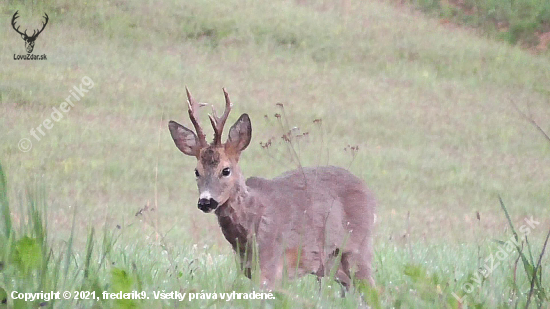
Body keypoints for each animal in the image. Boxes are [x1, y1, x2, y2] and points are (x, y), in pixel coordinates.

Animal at [168, 87, 376, 288]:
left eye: (225, 170)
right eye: (196, 171)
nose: (205, 201)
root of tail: (369, 192)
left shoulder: (272, 265)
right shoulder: (249, 268)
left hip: (359, 247)